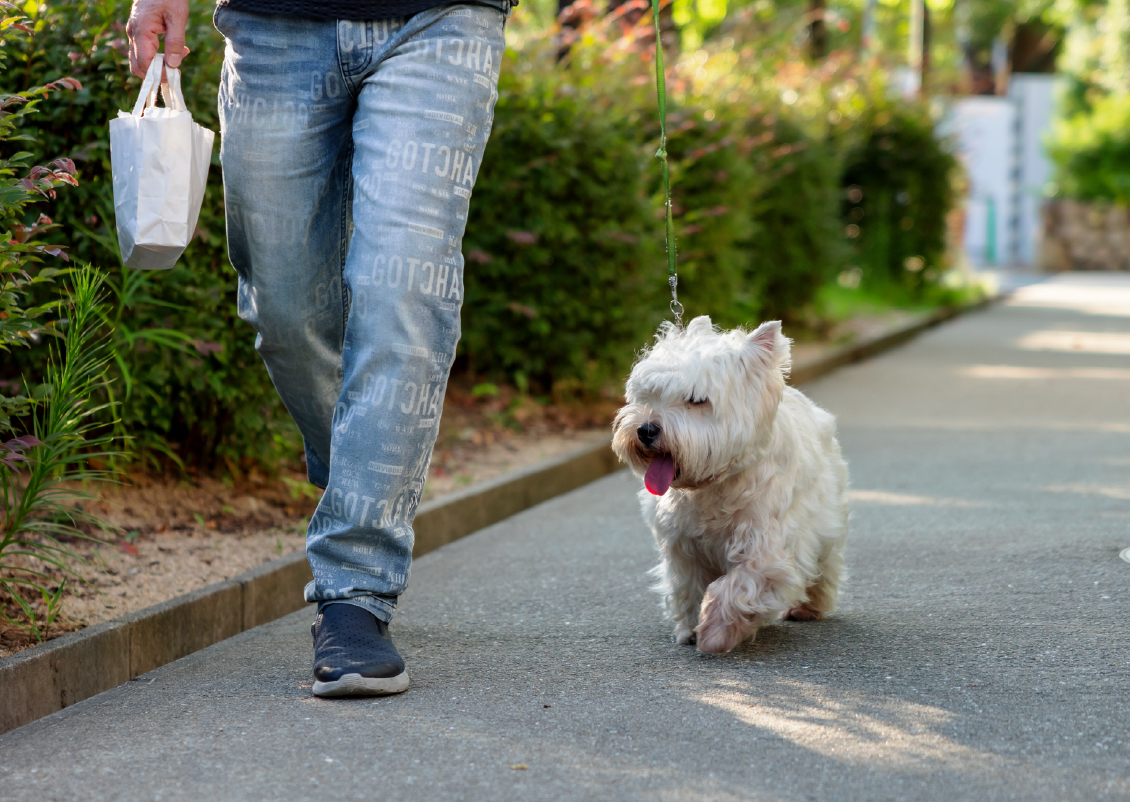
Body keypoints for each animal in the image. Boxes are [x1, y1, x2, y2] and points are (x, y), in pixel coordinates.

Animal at [614, 316, 845, 655]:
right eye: (648, 394)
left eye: (697, 400)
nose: (645, 430)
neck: (712, 483)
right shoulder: (683, 547)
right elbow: (688, 585)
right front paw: (690, 629)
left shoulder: (763, 548)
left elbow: (738, 587)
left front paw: (715, 632)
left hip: (825, 522)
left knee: (825, 564)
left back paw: (808, 607)